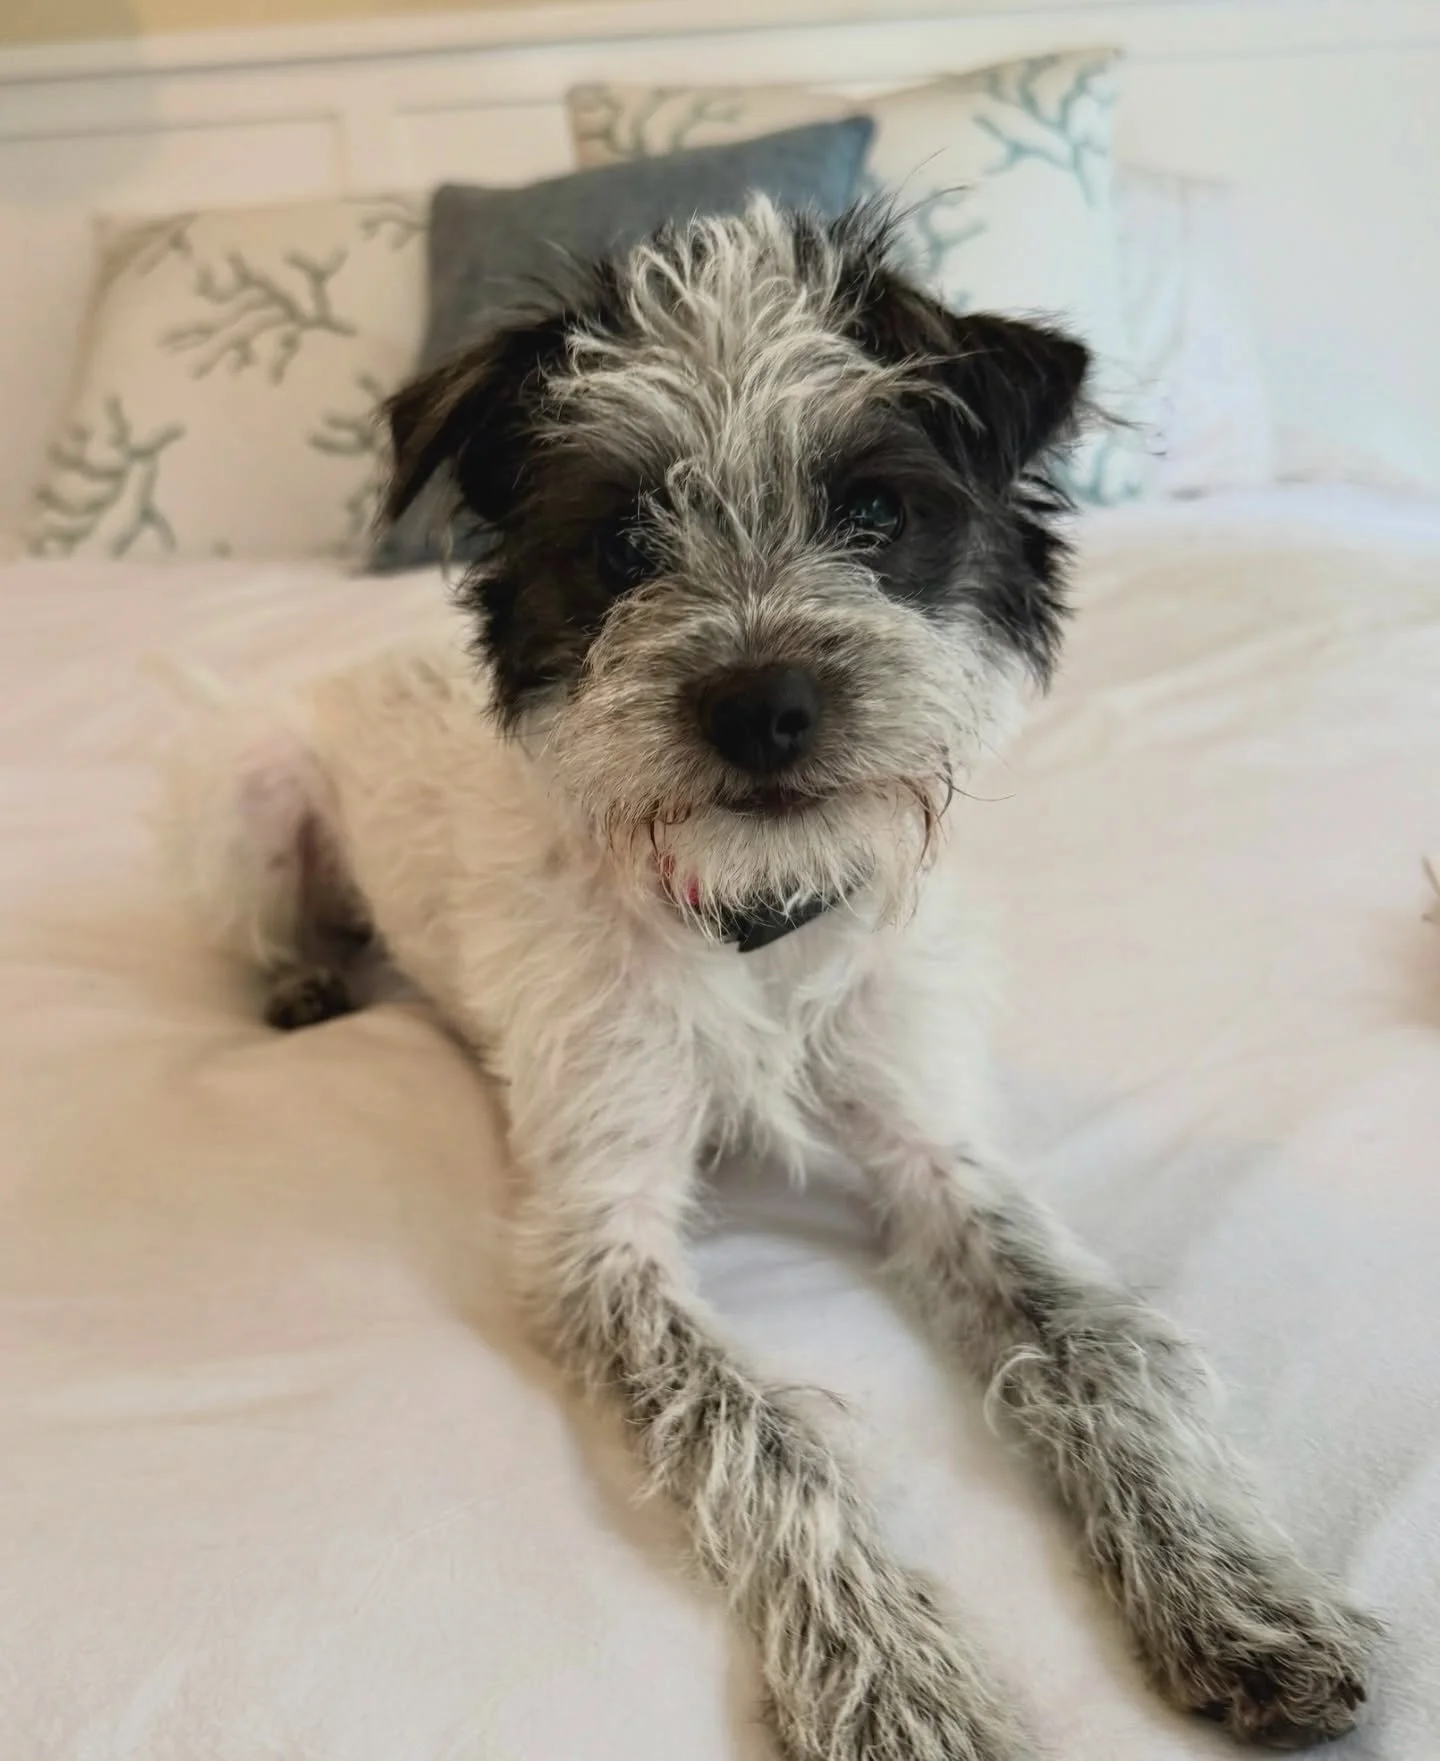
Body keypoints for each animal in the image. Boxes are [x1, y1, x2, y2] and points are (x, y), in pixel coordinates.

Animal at [168, 200, 1375, 1759]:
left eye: (874, 514)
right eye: (623, 539)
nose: (761, 705)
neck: (754, 919)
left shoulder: (934, 1150)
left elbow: (1100, 1343)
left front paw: (1228, 1586)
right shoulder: (601, 1233)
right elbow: (766, 1437)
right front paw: (898, 1684)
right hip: (247, 803)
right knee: (270, 921)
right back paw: (307, 978)